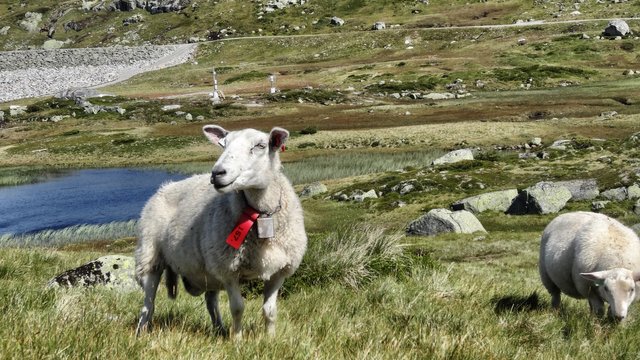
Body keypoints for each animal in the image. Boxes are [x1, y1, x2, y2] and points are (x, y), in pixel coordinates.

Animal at [135, 124, 308, 338]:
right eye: (223, 145)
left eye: (260, 146)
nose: (217, 173)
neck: (263, 215)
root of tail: (164, 187)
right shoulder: (229, 270)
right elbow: (238, 308)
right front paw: (237, 339)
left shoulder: (280, 271)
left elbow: (270, 311)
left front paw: (270, 339)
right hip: (150, 255)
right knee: (148, 303)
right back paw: (141, 332)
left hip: (208, 269)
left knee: (211, 302)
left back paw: (220, 329)